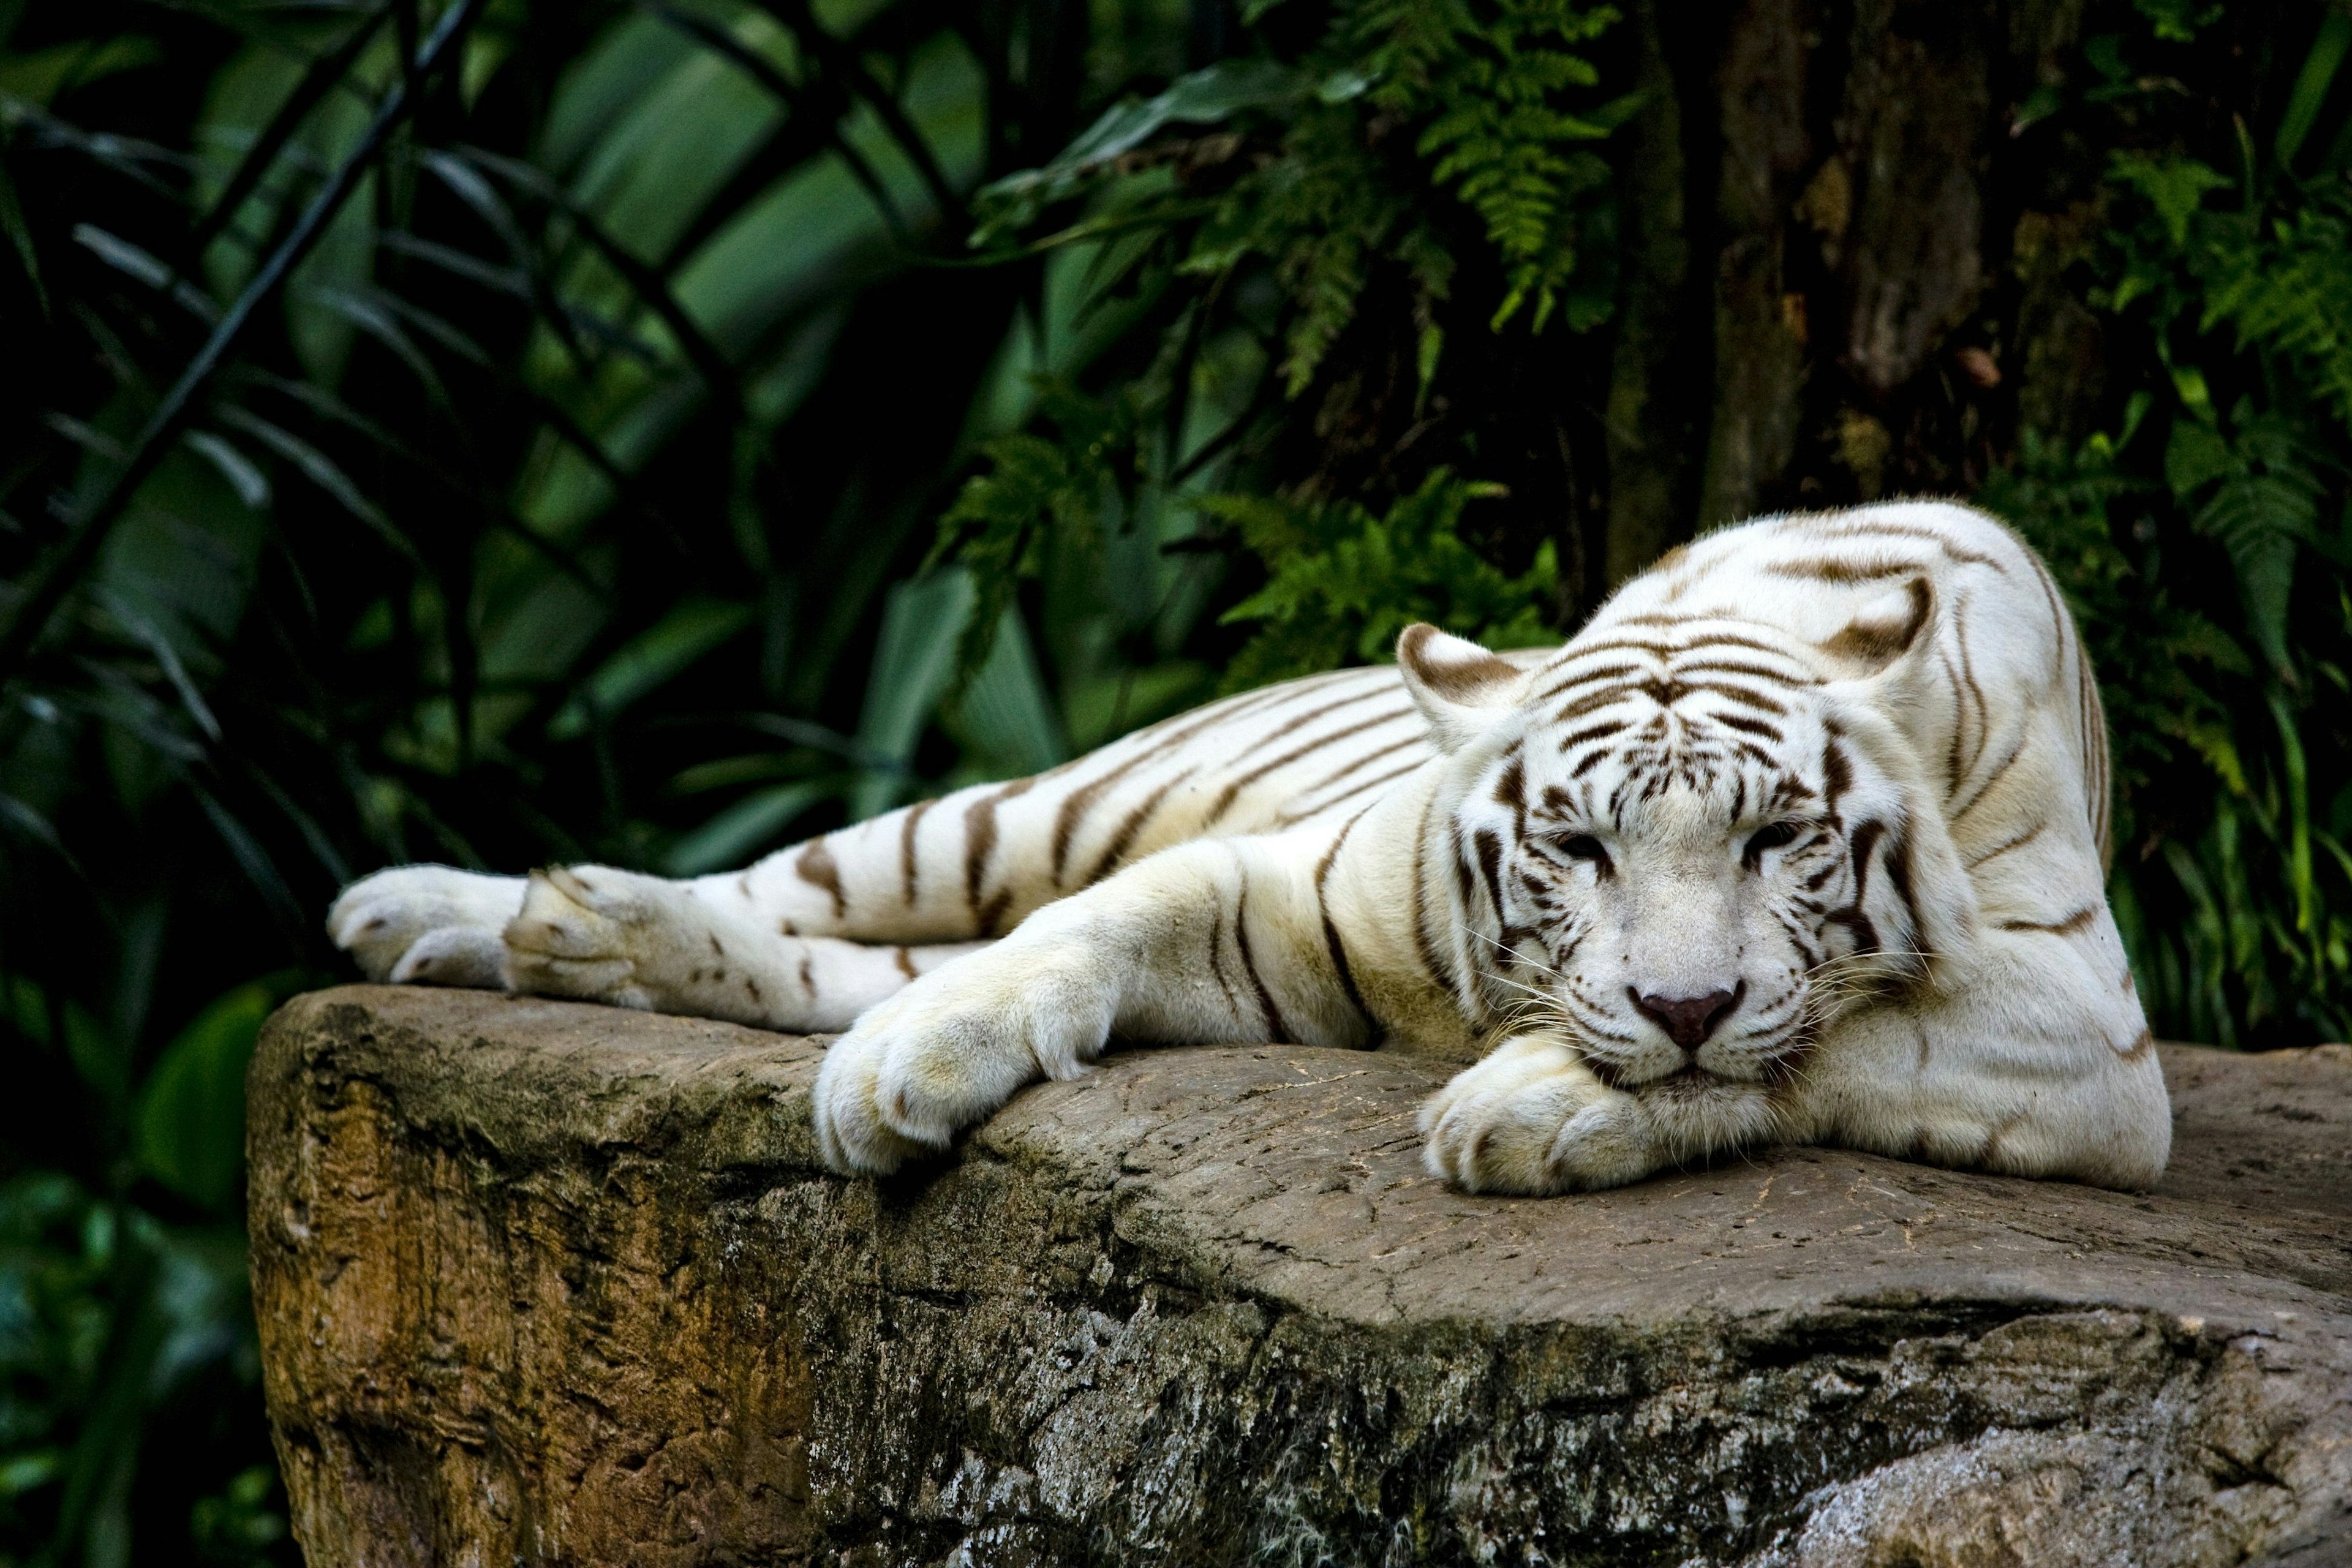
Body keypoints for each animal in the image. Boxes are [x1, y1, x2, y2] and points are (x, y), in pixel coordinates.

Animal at [326, 503, 2163, 1189]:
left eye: (1781, 835)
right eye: (1573, 846)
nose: (1680, 1002)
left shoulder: (2087, 1027)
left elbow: (1836, 1036)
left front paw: (1529, 1107)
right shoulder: (1298, 882)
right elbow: (1092, 921)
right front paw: (907, 1072)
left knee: (817, 963)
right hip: (1005, 810)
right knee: (815, 891)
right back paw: (460, 909)